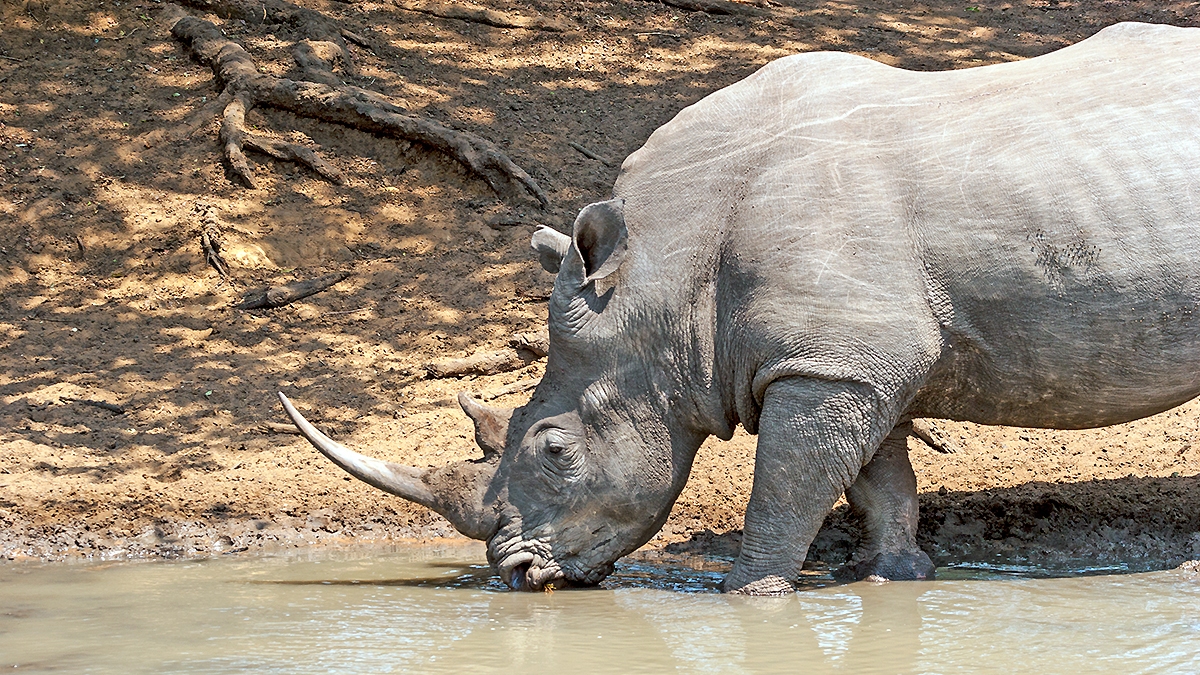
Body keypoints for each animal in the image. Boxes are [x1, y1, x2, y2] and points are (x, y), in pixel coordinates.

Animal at [279, 22, 1200, 595]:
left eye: (555, 450)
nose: (514, 574)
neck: (662, 275)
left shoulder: (829, 363)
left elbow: (785, 485)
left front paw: (749, 592)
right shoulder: (853, 357)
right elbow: (878, 476)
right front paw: (890, 577)